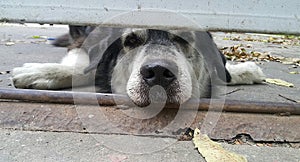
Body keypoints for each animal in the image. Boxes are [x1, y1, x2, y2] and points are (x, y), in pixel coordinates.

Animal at [12, 26, 264, 107]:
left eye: (183, 39)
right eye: (131, 41)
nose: (159, 72)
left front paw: (245, 70)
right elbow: (85, 69)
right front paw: (42, 72)